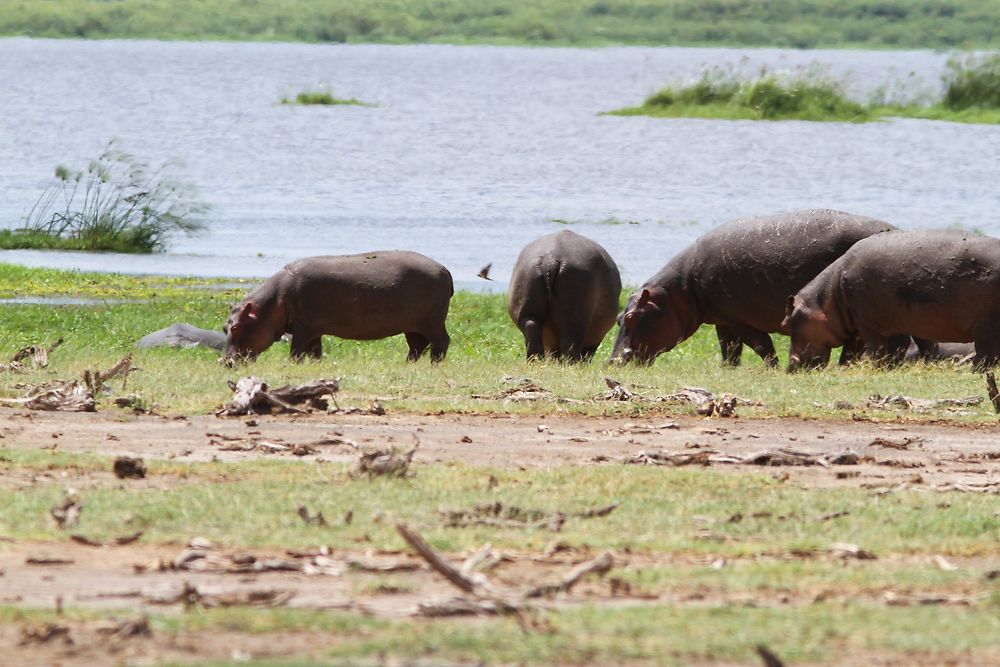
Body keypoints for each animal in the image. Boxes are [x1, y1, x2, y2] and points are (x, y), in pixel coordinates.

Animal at [226, 252, 454, 366]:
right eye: (224, 328)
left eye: (236, 328)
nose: (225, 362)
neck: (272, 305)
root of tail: (445, 270)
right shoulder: (313, 330)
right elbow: (314, 351)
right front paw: (315, 366)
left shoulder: (303, 327)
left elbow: (296, 350)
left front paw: (290, 365)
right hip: (412, 326)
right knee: (417, 346)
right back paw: (407, 364)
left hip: (432, 322)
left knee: (441, 342)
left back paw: (434, 364)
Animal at [784, 231, 1000, 374]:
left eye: (787, 323)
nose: (789, 368)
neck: (828, 297)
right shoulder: (907, 322)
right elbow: (918, 346)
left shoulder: (865, 321)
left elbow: (875, 347)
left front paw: (873, 367)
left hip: (985, 326)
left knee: (986, 353)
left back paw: (975, 371)